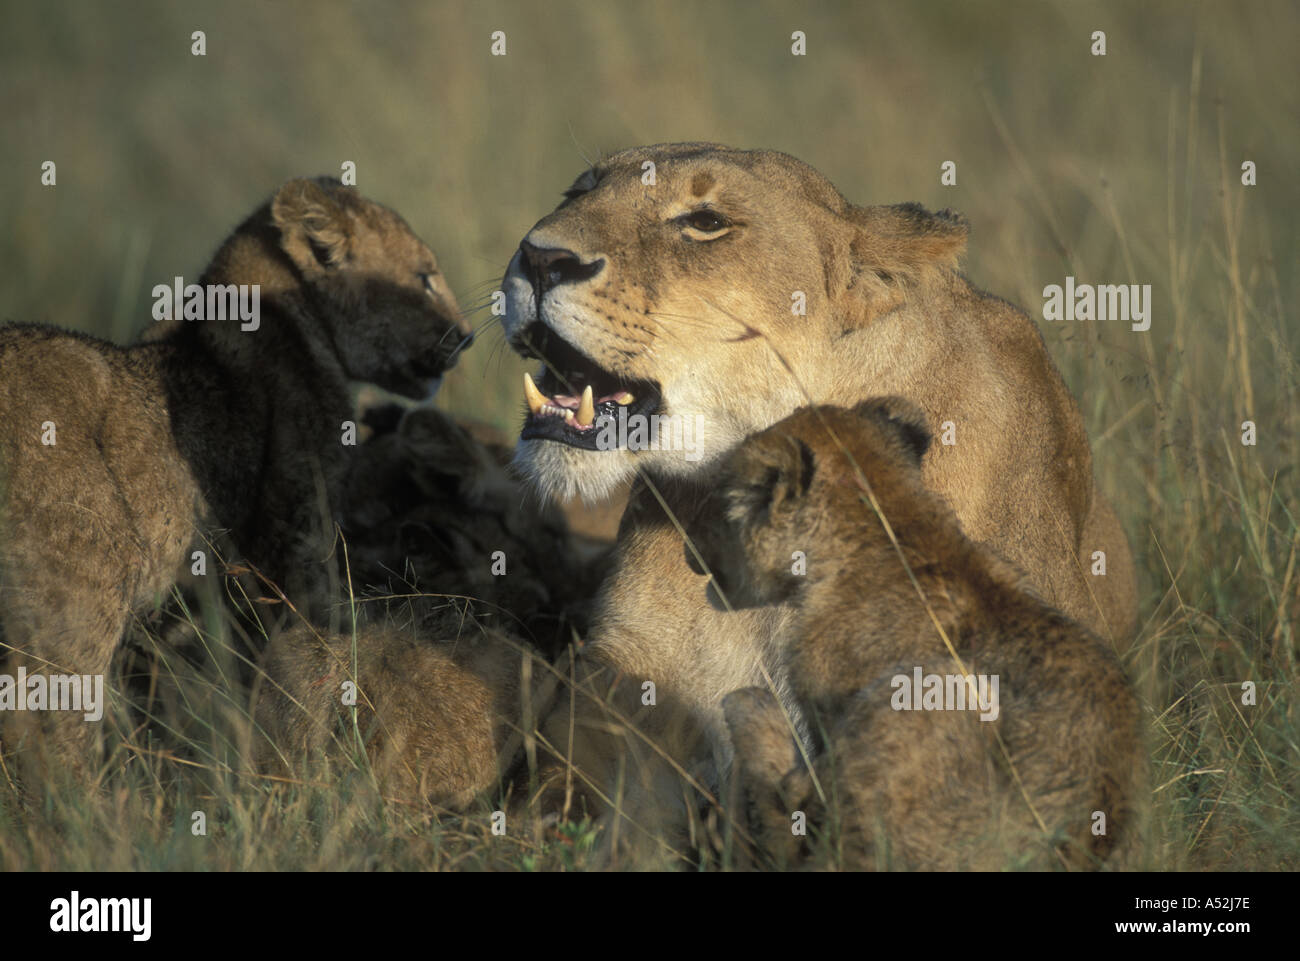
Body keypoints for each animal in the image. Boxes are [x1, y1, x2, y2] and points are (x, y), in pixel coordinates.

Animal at [0, 176, 470, 782]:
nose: (465, 337)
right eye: (425, 277)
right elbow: (313, 654)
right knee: (44, 725)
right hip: (79, 588)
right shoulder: (295, 545)